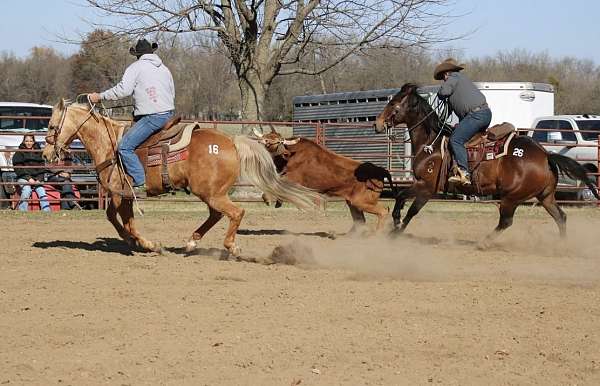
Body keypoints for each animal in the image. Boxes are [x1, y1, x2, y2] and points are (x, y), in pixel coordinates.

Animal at [42, 101, 324, 255]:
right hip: (211, 193)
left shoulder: (121, 194)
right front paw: (132, 241)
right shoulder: (120, 195)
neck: (110, 145)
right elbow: (115, 218)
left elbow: (126, 221)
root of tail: (231, 141)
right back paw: (191, 242)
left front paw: (148, 244)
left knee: (235, 213)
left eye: (52, 126)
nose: (45, 154)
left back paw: (230, 246)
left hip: (210, 192)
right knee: (217, 214)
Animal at [254, 129, 398, 232]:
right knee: (360, 220)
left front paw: (268, 198)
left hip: (362, 201)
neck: (289, 156)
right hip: (353, 202)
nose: (263, 142)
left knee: (383, 211)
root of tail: (381, 170)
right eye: (266, 137)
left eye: (278, 142)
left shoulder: (293, 177)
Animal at [372, 84, 596, 241]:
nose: (377, 123)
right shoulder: (423, 186)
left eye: (393, 103)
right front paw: (396, 225)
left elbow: (408, 206)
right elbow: (404, 202)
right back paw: (561, 245)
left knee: (506, 221)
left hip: (511, 197)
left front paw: (396, 229)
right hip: (546, 196)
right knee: (561, 217)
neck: (431, 143)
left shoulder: (426, 186)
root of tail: (545, 155)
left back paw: (484, 242)